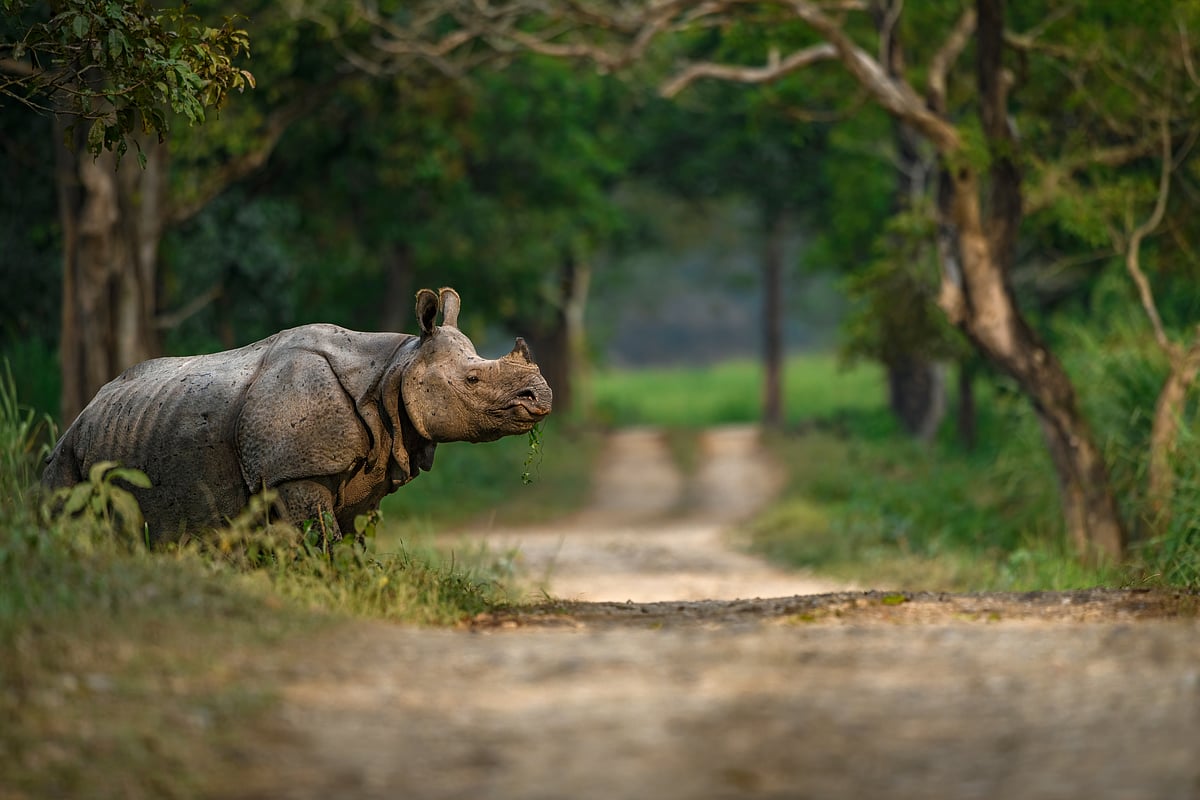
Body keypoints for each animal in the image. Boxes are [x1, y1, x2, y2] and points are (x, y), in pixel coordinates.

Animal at [42, 287, 552, 543]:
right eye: (473, 380)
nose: (542, 397)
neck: (394, 370)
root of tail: (85, 411)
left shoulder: (368, 467)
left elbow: (350, 542)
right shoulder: (294, 471)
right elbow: (320, 540)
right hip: (69, 452)